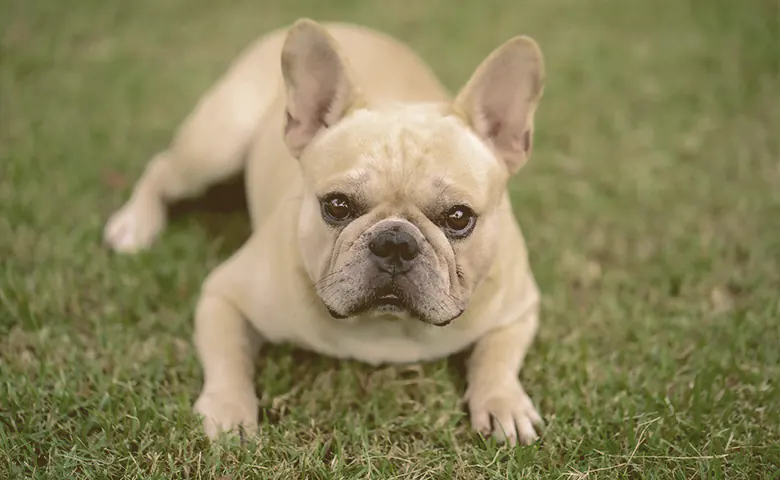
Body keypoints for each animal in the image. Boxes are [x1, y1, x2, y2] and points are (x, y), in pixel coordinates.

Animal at [103, 18, 544, 446]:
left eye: (458, 217)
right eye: (337, 205)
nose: (395, 242)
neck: (388, 327)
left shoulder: (519, 307)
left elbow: (498, 356)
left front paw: (503, 403)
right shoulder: (224, 295)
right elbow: (229, 356)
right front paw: (228, 410)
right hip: (215, 146)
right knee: (162, 168)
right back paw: (134, 223)